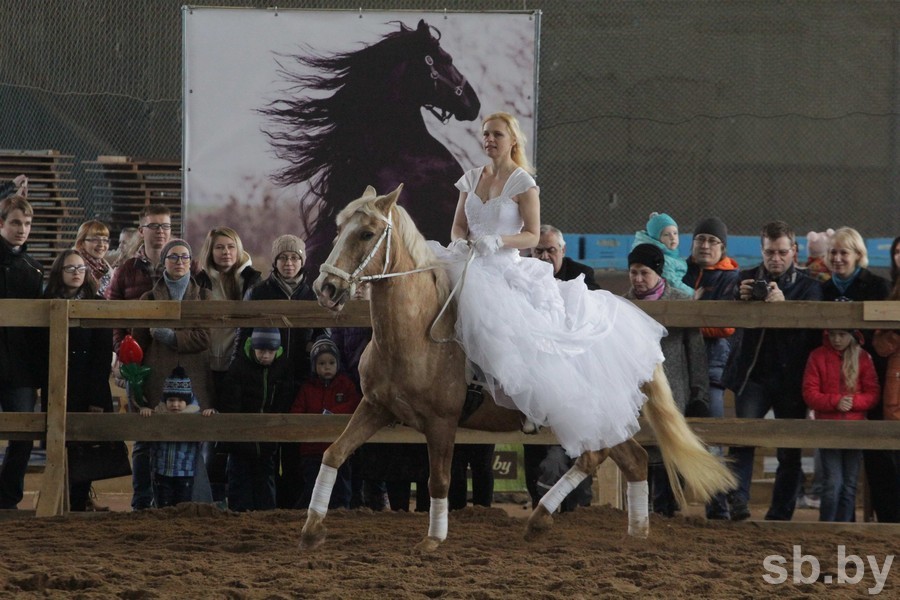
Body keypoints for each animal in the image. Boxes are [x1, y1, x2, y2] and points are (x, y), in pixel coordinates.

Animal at [306, 185, 736, 552]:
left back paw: (561, 522)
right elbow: (334, 454)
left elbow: (438, 479)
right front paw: (312, 529)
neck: (417, 330)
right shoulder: (375, 407)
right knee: (627, 460)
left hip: (595, 413)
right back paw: (624, 533)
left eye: (367, 234)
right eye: (340, 230)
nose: (324, 288)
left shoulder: (441, 422)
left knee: (613, 458)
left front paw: (433, 539)